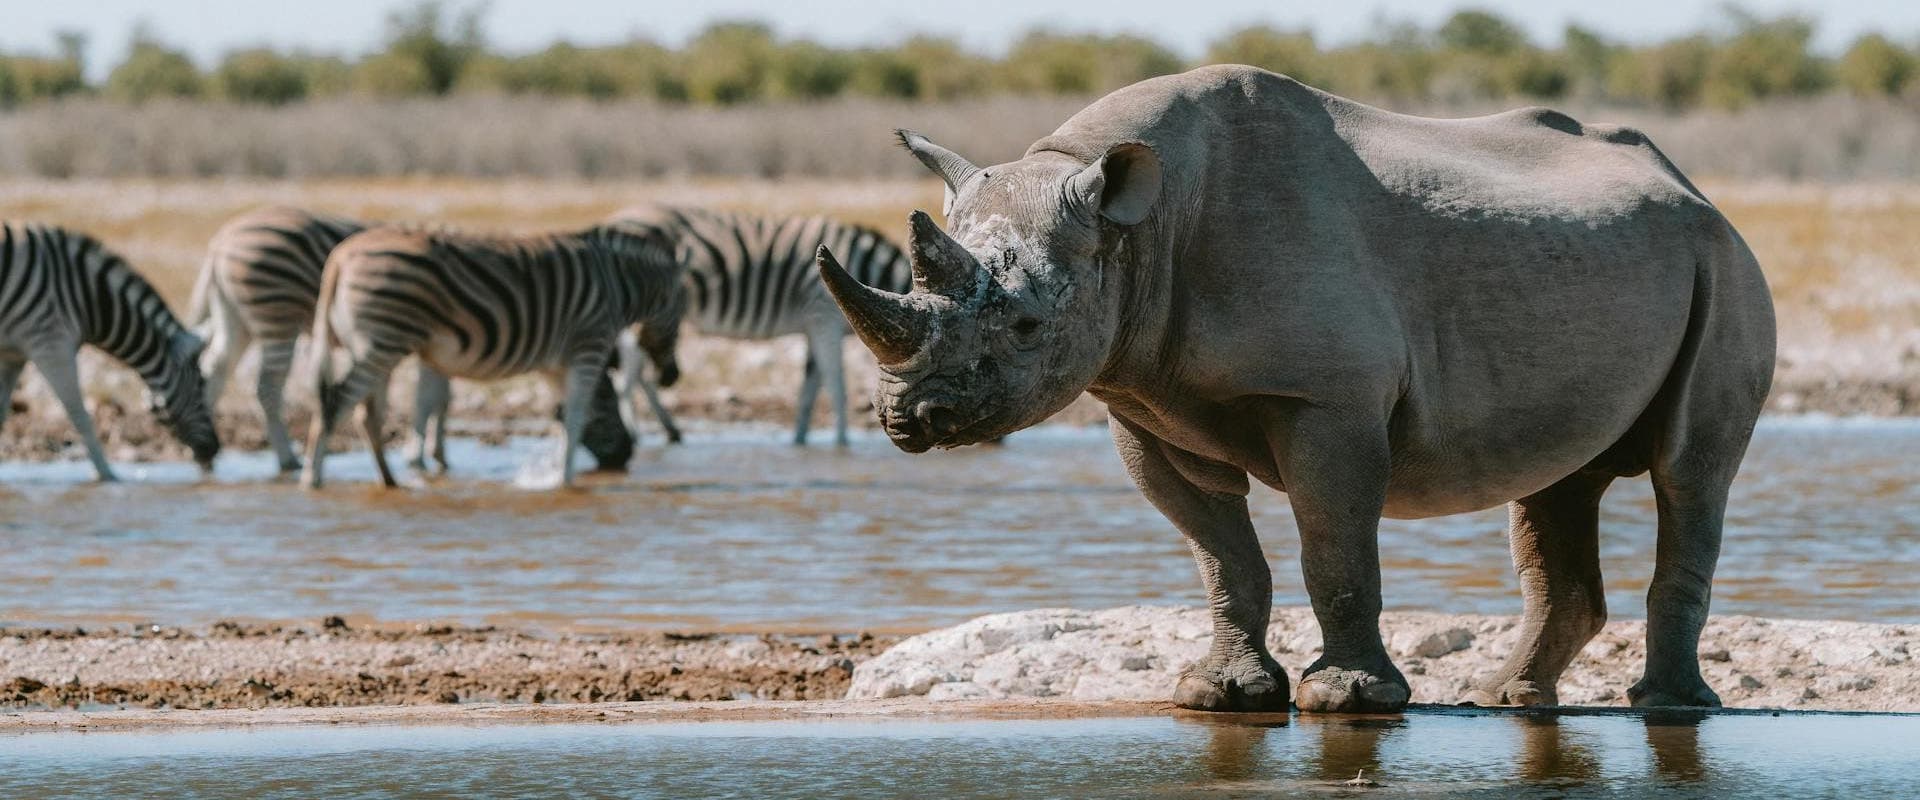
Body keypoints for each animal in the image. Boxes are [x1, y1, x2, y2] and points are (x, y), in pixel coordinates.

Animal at [0, 221, 219, 480]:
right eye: (201, 387)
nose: (214, 449)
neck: (87, 298)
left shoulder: (14, 356)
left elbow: (1, 414)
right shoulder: (51, 344)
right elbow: (80, 415)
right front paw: (107, 475)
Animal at [189, 206, 635, 475]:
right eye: (607, 404)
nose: (626, 455)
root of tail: (221, 241)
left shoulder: (440, 345)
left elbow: (439, 398)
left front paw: (436, 455)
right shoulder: (437, 343)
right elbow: (431, 399)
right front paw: (421, 456)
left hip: (237, 319)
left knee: (214, 369)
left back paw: (202, 447)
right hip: (275, 315)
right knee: (268, 386)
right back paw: (288, 459)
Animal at [301, 221, 685, 489]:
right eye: (681, 314)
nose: (672, 377)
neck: (619, 283)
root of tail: (341, 257)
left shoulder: (556, 362)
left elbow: (563, 415)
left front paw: (556, 473)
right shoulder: (589, 343)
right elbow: (577, 414)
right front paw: (565, 479)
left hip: (377, 346)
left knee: (368, 415)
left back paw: (389, 481)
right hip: (382, 342)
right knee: (335, 403)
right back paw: (312, 479)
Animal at [605, 205, 912, 446]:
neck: (867, 273)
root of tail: (619, 218)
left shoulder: (814, 326)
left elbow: (809, 389)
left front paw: (800, 441)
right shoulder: (825, 316)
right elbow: (836, 385)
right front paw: (842, 444)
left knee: (640, 371)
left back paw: (670, 431)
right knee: (630, 372)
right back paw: (636, 435)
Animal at [817, 65, 1775, 713]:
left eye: (1023, 326)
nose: (910, 418)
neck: (1137, 231)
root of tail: (1693, 187)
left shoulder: (1327, 400)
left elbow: (1333, 545)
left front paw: (1346, 701)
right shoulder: (1142, 402)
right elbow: (1220, 554)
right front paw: (1219, 694)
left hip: (1725, 262)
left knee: (1689, 472)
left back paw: (1667, 708)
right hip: (1615, 263)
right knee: (1557, 483)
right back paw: (1506, 698)